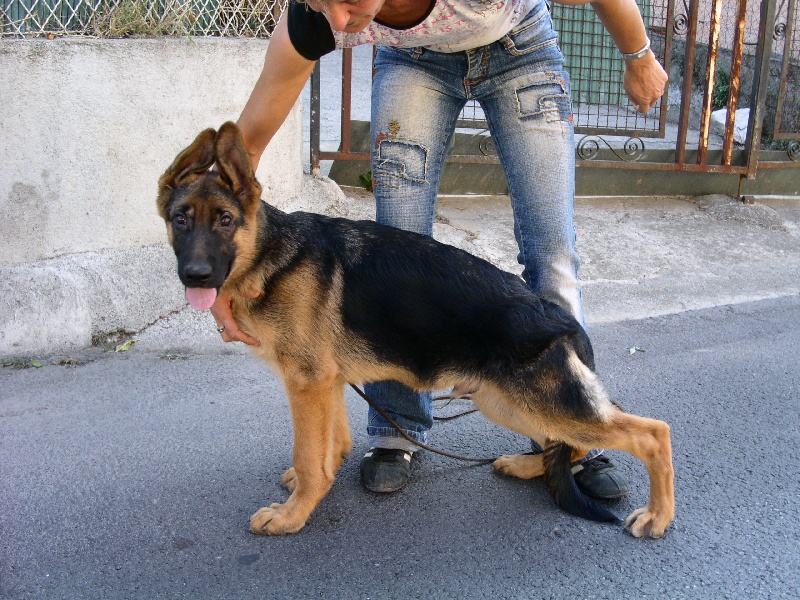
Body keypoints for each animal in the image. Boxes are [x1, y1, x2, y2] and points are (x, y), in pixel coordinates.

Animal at [156, 122, 676, 540]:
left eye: (225, 221)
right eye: (180, 219)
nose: (196, 276)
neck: (270, 254)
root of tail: (559, 316)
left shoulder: (306, 384)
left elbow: (309, 456)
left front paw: (292, 515)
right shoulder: (326, 383)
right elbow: (330, 447)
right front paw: (314, 485)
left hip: (543, 403)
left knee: (652, 432)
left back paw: (657, 516)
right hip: (505, 401)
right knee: (573, 442)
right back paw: (528, 464)